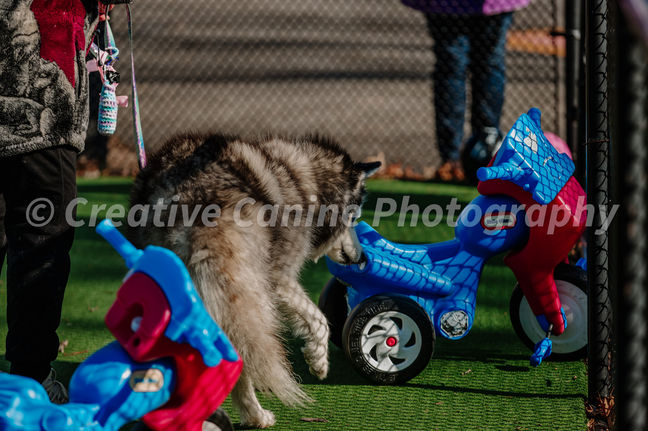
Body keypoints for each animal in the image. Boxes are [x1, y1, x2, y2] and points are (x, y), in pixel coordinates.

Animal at [129, 132, 379, 428]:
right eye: (355, 217)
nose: (361, 258)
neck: (303, 180)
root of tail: (190, 196)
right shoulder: (280, 277)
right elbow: (319, 321)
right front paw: (318, 360)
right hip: (247, 299)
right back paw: (254, 415)